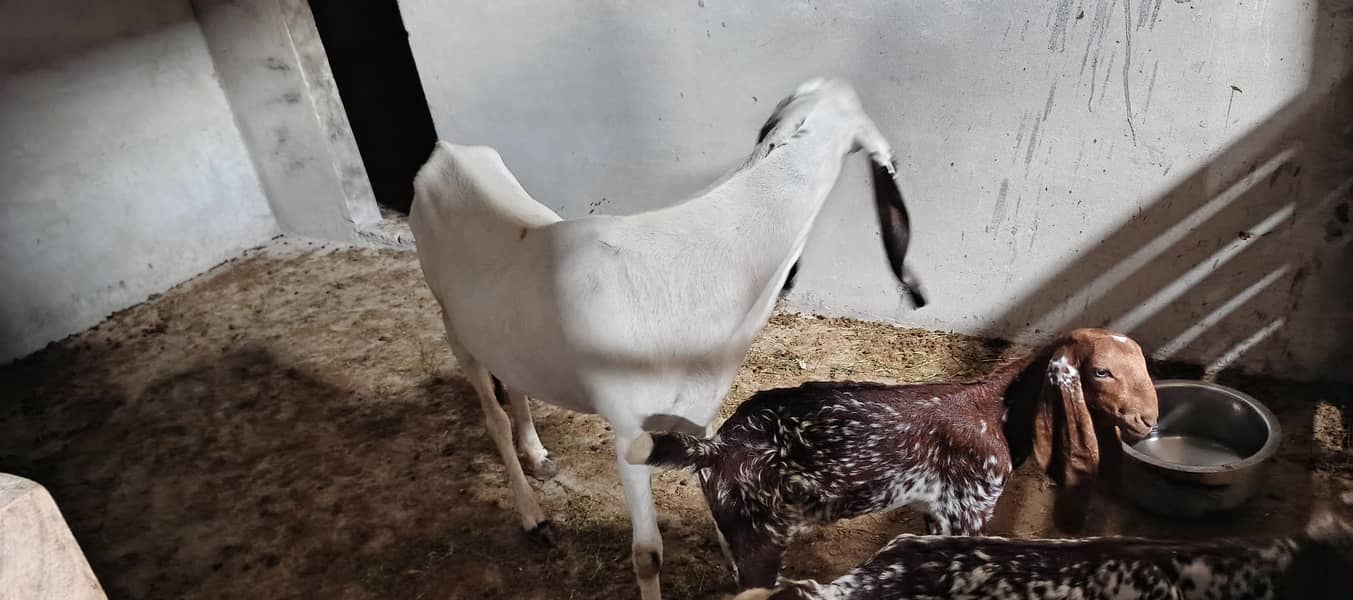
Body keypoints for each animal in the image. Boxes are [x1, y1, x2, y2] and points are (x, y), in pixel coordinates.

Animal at [407, 78, 926, 600]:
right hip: (454, 325)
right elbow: (648, 554)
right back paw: (534, 517)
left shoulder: (700, 415)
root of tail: (445, 152)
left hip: (504, 337)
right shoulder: (627, 428)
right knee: (493, 418)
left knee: (514, 383)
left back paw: (537, 455)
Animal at [626, 328, 1159, 589]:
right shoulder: (968, 510)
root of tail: (716, 448)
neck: (997, 411)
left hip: (736, 530)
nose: (1147, 419)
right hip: (760, 537)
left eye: (1144, 366)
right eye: (1101, 372)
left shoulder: (937, 514)